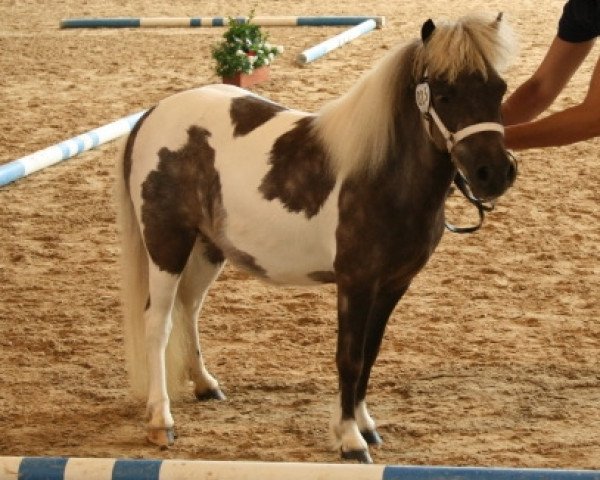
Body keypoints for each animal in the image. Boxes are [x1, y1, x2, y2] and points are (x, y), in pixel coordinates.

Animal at [116, 15, 516, 464]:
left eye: (499, 88)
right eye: (445, 95)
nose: (493, 174)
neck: (382, 174)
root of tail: (151, 115)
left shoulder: (393, 284)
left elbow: (370, 353)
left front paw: (365, 424)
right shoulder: (356, 283)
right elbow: (350, 357)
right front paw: (350, 439)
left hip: (207, 248)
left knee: (189, 308)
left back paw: (205, 385)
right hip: (166, 244)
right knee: (159, 321)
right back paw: (160, 421)